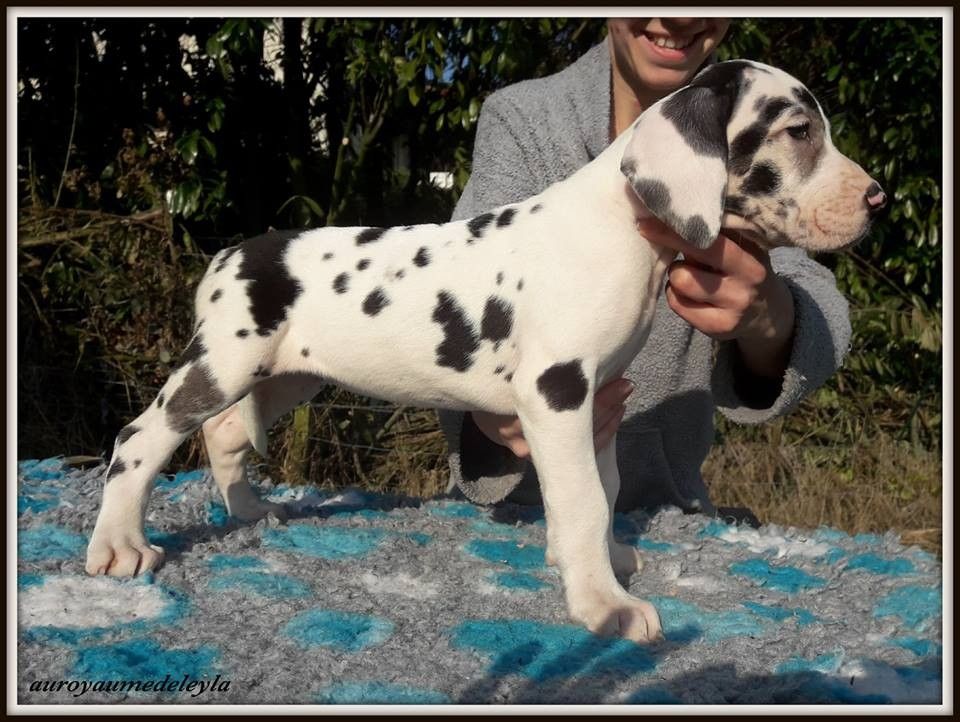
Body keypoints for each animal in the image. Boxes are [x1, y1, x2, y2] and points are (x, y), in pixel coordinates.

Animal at [85, 60, 886, 643]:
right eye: (797, 130)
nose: (878, 199)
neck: (622, 228)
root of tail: (229, 255)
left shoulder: (598, 401)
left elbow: (602, 492)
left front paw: (600, 566)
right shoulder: (557, 394)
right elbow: (584, 500)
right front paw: (605, 606)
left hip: (287, 375)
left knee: (225, 432)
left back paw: (250, 510)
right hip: (222, 362)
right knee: (140, 438)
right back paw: (121, 544)